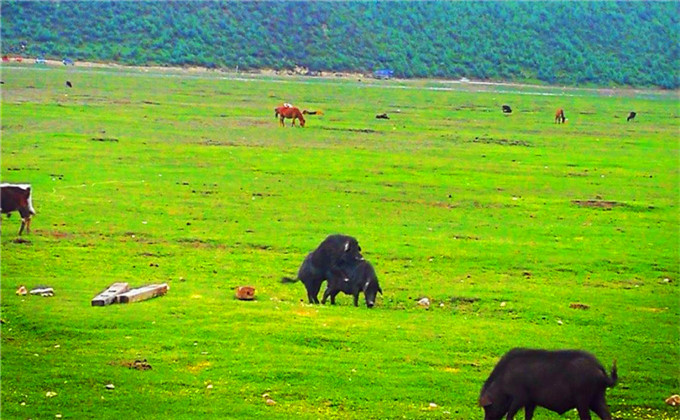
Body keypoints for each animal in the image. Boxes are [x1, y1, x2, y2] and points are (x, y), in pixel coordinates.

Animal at [478, 348, 616, 420]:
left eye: (488, 407)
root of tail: (600, 370)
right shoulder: (530, 401)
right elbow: (528, 415)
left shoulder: (519, 397)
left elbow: (510, 414)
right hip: (598, 397)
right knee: (606, 414)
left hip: (583, 398)